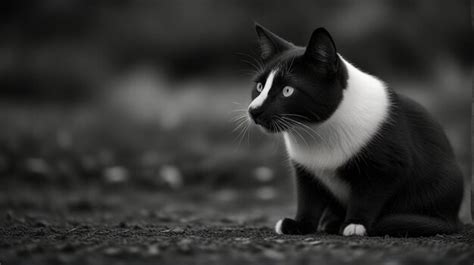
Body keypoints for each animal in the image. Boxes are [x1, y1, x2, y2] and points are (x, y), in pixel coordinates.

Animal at [248, 23, 462, 236]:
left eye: (287, 91)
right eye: (259, 86)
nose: (254, 110)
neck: (316, 131)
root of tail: (454, 219)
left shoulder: (387, 168)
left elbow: (368, 197)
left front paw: (355, 224)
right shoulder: (306, 171)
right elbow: (308, 200)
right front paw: (300, 225)